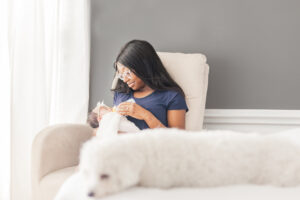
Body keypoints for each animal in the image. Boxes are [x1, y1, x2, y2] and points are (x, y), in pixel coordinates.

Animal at [78, 128, 300, 198]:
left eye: (105, 175)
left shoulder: (158, 180)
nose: (89, 194)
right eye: (86, 173)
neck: (143, 151)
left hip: (279, 174)